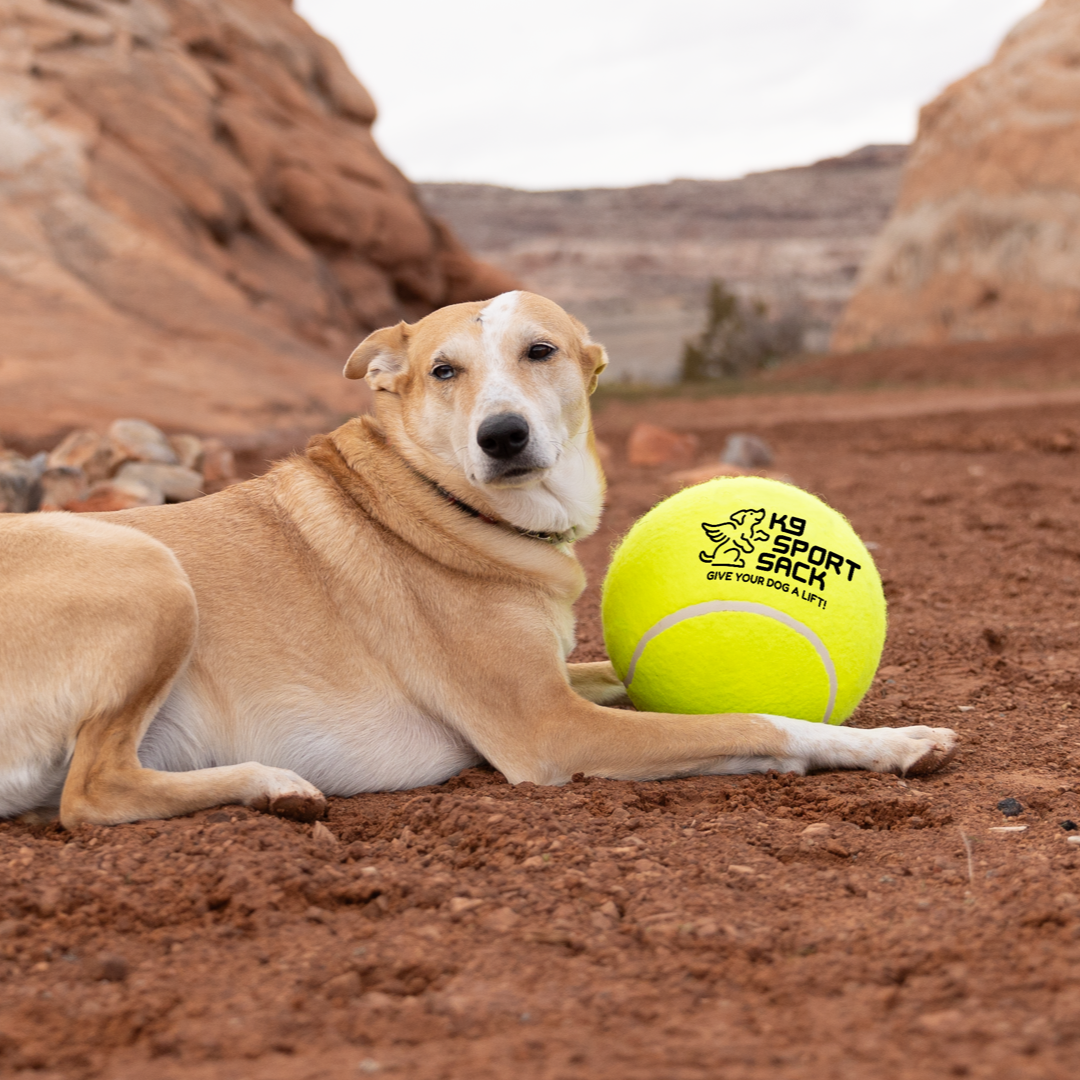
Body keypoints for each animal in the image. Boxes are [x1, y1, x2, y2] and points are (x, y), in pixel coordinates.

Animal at [0, 291, 959, 820]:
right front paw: (894, 742)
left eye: (541, 351)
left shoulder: (558, 681)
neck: (439, 501)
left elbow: (628, 673)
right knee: (91, 796)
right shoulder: (547, 730)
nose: (503, 436)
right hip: (150, 572)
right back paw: (270, 783)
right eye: (443, 371)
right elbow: (754, 723)